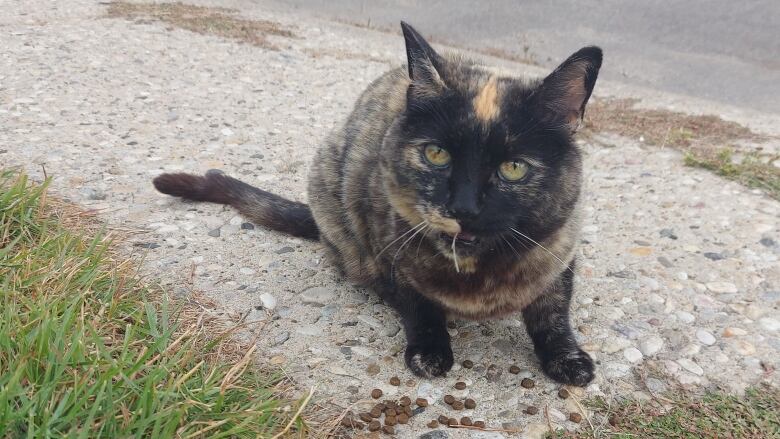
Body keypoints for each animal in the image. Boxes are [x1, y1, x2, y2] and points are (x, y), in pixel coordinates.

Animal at [152, 21, 604, 384]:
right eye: (436, 154)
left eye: (513, 168)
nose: (463, 208)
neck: (474, 277)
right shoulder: (391, 250)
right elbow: (419, 305)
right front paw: (430, 351)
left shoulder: (561, 249)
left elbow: (553, 311)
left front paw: (568, 359)